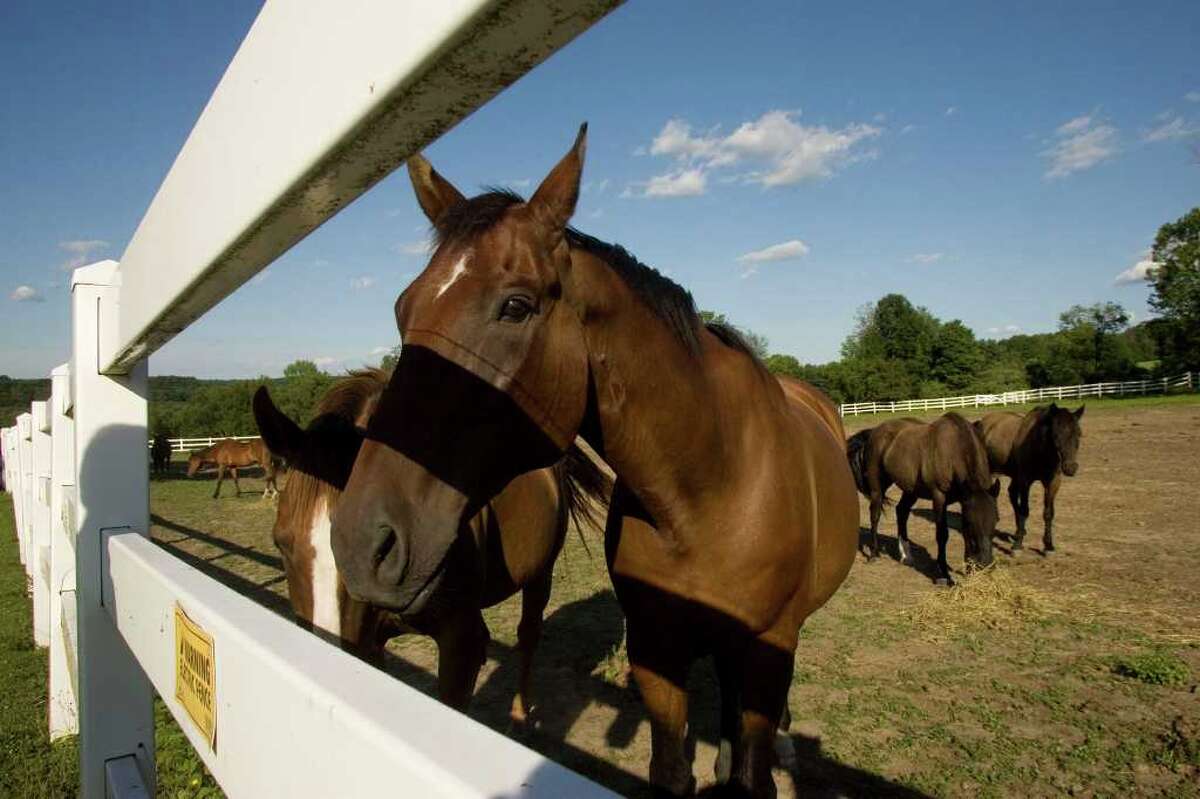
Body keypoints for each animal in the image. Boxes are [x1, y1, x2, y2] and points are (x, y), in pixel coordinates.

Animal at [251, 370, 610, 717]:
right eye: (280, 543)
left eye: (379, 548)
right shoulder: (373, 643)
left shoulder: (460, 643)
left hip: (540, 574)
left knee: (528, 635)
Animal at [327, 127, 858, 797]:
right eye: (403, 310)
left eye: (516, 306)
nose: (361, 541)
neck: (711, 490)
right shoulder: (656, 650)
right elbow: (672, 769)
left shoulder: (768, 647)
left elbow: (754, 773)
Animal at [848, 413, 1000, 585]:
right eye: (970, 522)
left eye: (996, 520)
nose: (986, 565)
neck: (953, 450)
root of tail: (874, 432)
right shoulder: (939, 497)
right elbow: (942, 534)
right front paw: (944, 574)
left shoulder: (964, 500)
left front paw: (969, 571)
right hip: (877, 487)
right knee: (875, 515)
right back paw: (874, 554)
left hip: (911, 490)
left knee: (902, 511)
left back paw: (906, 556)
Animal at [975, 403, 1084, 553]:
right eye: (1056, 435)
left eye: (1079, 434)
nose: (1070, 467)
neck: (1040, 450)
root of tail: (982, 422)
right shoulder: (1025, 482)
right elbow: (1025, 510)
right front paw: (1017, 545)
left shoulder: (1053, 482)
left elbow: (1048, 513)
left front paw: (1048, 545)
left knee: (1012, 494)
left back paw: (1018, 531)